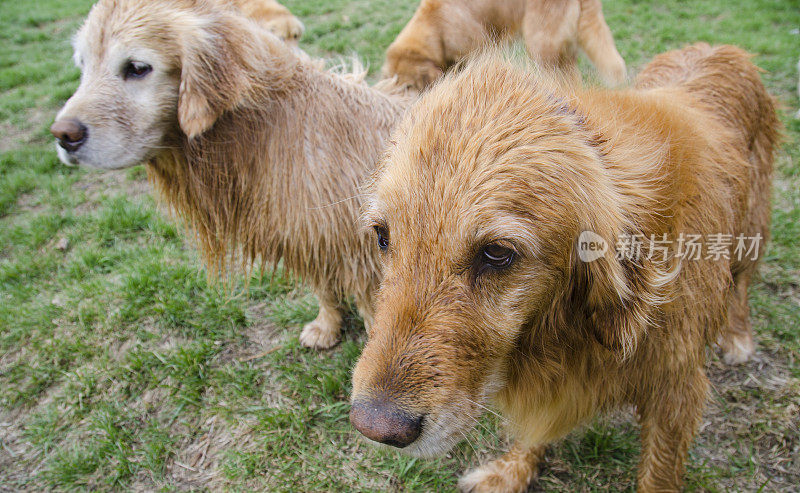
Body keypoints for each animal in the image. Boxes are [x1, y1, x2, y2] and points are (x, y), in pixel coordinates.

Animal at [49, 0, 410, 350]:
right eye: (82, 65)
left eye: (137, 68)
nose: (63, 135)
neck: (267, 127)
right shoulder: (305, 235)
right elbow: (323, 288)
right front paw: (326, 327)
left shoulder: (358, 255)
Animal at [350, 44, 776, 490]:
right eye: (382, 236)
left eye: (497, 253)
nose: (375, 427)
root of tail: (721, 48)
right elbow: (537, 427)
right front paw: (513, 470)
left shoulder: (676, 391)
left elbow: (658, 473)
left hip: (753, 227)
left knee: (742, 284)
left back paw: (738, 335)